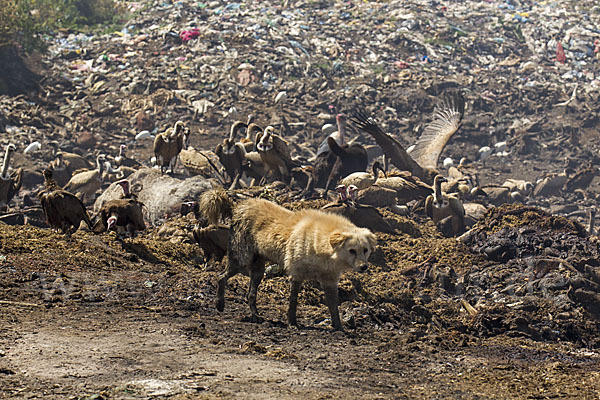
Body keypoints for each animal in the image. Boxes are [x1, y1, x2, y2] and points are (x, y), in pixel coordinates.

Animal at [216, 198, 376, 332]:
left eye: (365, 250)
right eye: (352, 251)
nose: (364, 267)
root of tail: (239, 206)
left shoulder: (330, 281)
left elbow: (334, 308)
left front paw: (339, 328)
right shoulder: (296, 274)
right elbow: (293, 302)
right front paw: (292, 323)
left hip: (258, 270)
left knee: (250, 295)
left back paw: (256, 316)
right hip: (241, 261)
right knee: (221, 277)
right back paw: (220, 304)